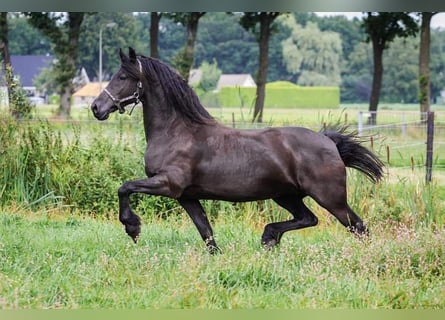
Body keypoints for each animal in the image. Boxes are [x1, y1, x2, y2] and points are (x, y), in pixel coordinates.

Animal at [90, 47, 382, 254]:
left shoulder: (168, 184)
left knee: (358, 227)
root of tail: (329, 142)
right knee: (308, 218)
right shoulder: (187, 196)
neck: (177, 131)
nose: (96, 107)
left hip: (330, 198)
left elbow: (125, 187)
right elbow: (206, 233)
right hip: (286, 196)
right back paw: (269, 236)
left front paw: (132, 227)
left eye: (123, 77)